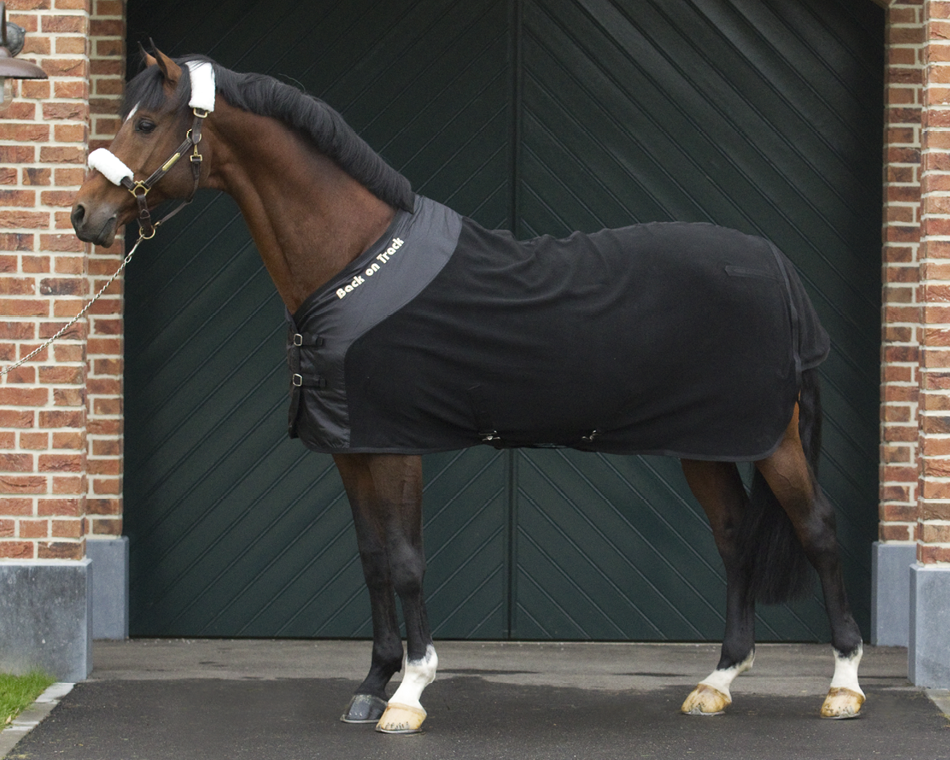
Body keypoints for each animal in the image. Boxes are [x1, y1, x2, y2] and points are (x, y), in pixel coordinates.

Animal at [71, 49, 866, 734]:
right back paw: (717, 682)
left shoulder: (397, 445)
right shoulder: (351, 447)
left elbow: (406, 559)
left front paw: (410, 693)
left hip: (776, 440)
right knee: (734, 539)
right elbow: (371, 559)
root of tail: (777, 267)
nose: (85, 216)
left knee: (819, 530)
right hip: (708, 444)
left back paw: (844, 686)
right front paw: (372, 684)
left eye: (146, 123)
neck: (354, 260)